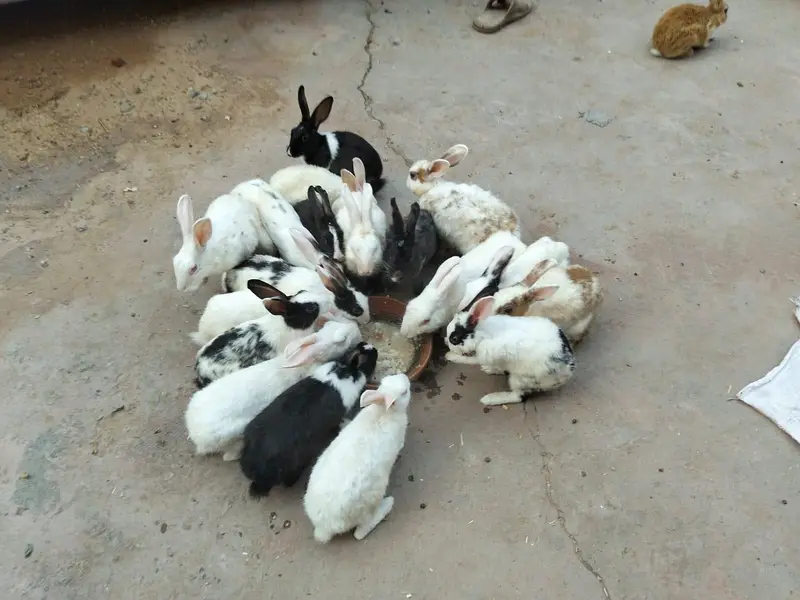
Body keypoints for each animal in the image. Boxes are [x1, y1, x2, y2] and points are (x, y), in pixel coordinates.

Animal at [304, 373, 412, 543]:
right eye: (404, 392)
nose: (404, 376)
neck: (384, 411)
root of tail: (325, 527)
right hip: (371, 500)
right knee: (360, 533)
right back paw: (387, 505)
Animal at [444, 296, 576, 406]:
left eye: (454, 338)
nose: (447, 343)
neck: (483, 333)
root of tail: (568, 373)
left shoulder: (484, 353)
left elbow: (468, 359)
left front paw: (450, 356)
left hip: (521, 380)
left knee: (519, 397)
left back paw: (489, 399)